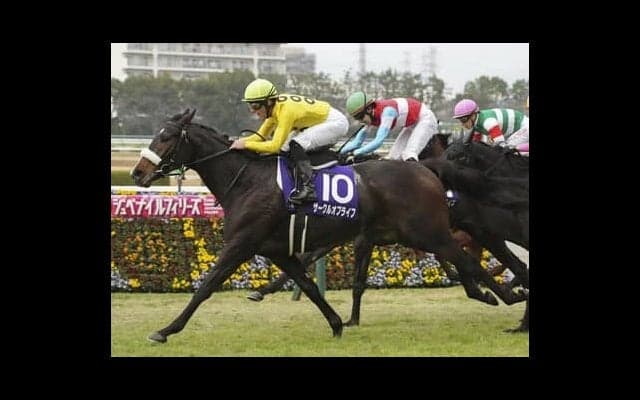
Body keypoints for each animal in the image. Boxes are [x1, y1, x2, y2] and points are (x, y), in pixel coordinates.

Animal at [131, 109, 526, 343]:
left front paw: (165, 330)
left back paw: (505, 296)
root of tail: (425, 168)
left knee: (470, 262)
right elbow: (309, 285)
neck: (247, 180)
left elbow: (206, 286)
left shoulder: (241, 243)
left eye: (167, 137)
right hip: (422, 232)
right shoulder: (278, 249)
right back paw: (505, 295)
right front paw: (337, 323)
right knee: (474, 262)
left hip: (429, 231)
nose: (137, 172)